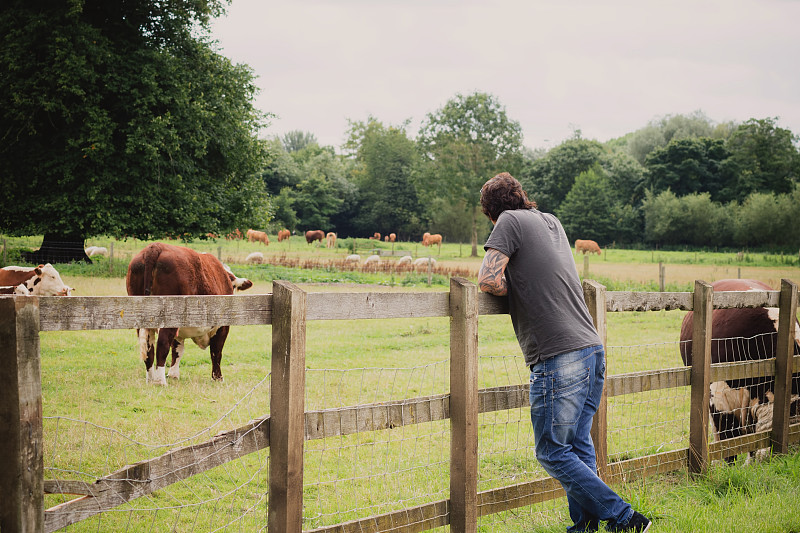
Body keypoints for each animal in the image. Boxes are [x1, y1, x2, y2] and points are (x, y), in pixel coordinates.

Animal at [126, 243, 253, 384]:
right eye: (234, 287)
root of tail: (155, 246)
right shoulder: (222, 326)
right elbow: (216, 352)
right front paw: (218, 378)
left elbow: (177, 350)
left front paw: (173, 374)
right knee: (162, 346)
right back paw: (160, 382)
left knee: (149, 349)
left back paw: (151, 380)